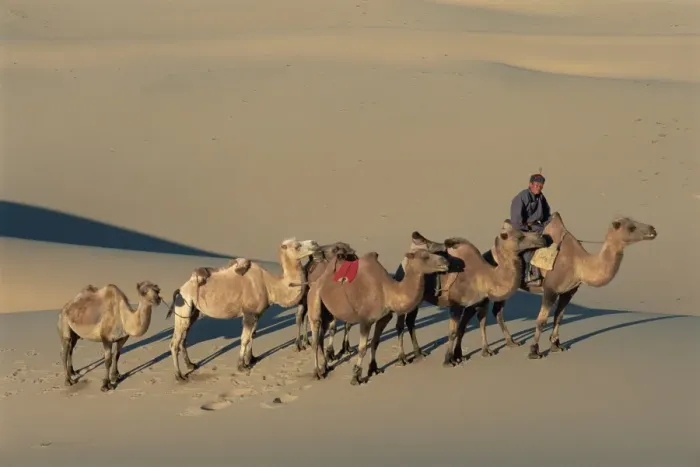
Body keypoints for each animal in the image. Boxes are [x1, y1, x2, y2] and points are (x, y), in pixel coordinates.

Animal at [166, 238, 319, 381]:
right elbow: (244, 338)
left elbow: (253, 335)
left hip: (193, 311)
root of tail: (181, 289)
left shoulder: (257, 313)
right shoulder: (249, 313)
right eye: (297, 246)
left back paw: (190, 365)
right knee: (174, 342)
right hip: (183, 306)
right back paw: (179, 376)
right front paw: (241, 365)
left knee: (184, 338)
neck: (270, 285)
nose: (315, 243)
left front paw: (251, 359)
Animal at [307, 248, 450, 385]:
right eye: (425, 256)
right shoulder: (365, 321)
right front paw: (356, 377)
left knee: (321, 337)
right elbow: (362, 348)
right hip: (314, 298)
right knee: (315, 336)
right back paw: (316, 373)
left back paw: (325, 367)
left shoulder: (384, 318)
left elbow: (375, 342)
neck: (388, 292)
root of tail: (316, 281)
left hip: (328, 312)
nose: (445, 261)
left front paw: (373, 368)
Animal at [484, 213, 657, 359]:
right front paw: (534, 351)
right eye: (631, 227)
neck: (578, 264)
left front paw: (556, 346)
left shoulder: (569, 291)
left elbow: (559, 317)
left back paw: (511, 342)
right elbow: (542, 320)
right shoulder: (550, 289)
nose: (653, 229)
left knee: (498, 310)